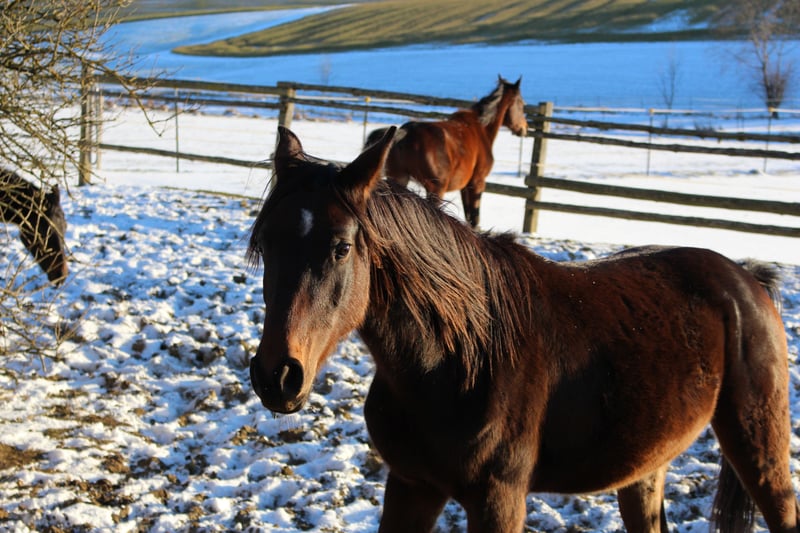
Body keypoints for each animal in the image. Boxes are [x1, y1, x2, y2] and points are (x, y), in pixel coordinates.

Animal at [247, 127, 799, 533]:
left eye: (341, 247)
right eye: (266, 242)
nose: (278, 376)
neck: (458, 359)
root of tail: (747, 279)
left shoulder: (499, 499)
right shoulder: (411, 485)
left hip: (760, 445)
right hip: (645, 467)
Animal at [365, 75, 527, 228]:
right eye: (521, 104)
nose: (524, 128)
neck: (482, 129)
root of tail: (404, 133)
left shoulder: (465, 187)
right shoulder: (477, 183)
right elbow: (474, 220)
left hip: (399, 179)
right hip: (436, 189)